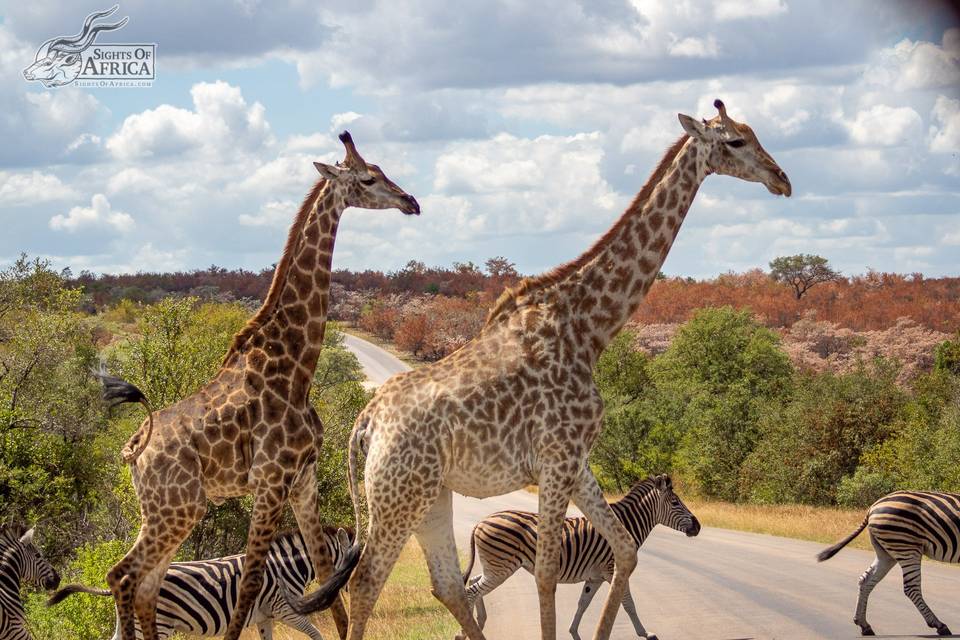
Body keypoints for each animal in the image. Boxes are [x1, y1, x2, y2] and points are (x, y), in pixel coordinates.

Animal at [48, 528, 351, 640]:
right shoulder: (284, 607)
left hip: (127, 622)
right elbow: (316, 634)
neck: (286, 567)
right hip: (159, 622)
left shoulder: (265, 615)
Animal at [104, 132, 420, 640]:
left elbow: (325, 570)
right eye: (369, 178)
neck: (295, 368)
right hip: (178, 507)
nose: (411, 202)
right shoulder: (270, 480)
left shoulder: (303, 479)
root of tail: (134, 447)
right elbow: (250, 583)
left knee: (146, 586)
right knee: (123, 575)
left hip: (164, 509)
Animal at [460, 474, 700, 640]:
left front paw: (574, 632)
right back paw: (464, 632)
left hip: (495, 565)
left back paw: (479, 622)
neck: (625, 526)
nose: (698, 526)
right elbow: (628, 603)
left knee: (473, 582)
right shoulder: (613, 569)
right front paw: (646, 633)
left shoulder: (595, 576)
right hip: (502, 565)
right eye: (675, 503)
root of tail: (480, 522)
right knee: (471, 591)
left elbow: (583, 603)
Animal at [817, 490, 960, 636]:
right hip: (906, 547)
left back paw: (864, 625)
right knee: (911, 588)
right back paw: (939, 625)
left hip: (886, 553)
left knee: (866, 580)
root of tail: (873, 507)